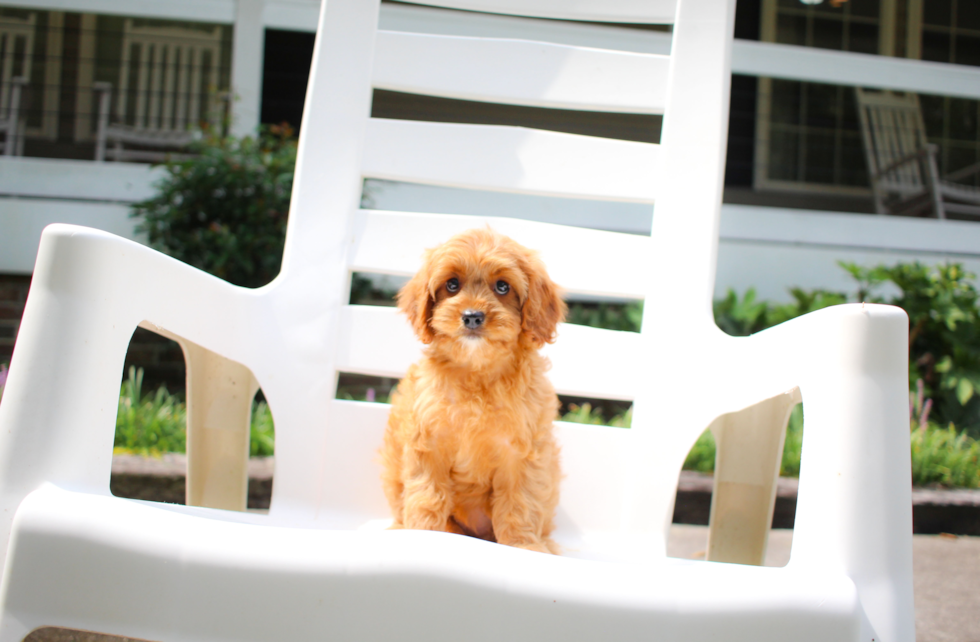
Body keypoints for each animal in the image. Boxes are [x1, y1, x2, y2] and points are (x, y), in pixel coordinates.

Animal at [380, 228, 568, 552]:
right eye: (452, 285)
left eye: (503, 286)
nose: (472, 316)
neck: (476, 372)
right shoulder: (428, 445)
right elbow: (427, 497)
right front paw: (421, 534)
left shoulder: (522, 454)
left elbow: (520, 503)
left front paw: (523, 547)